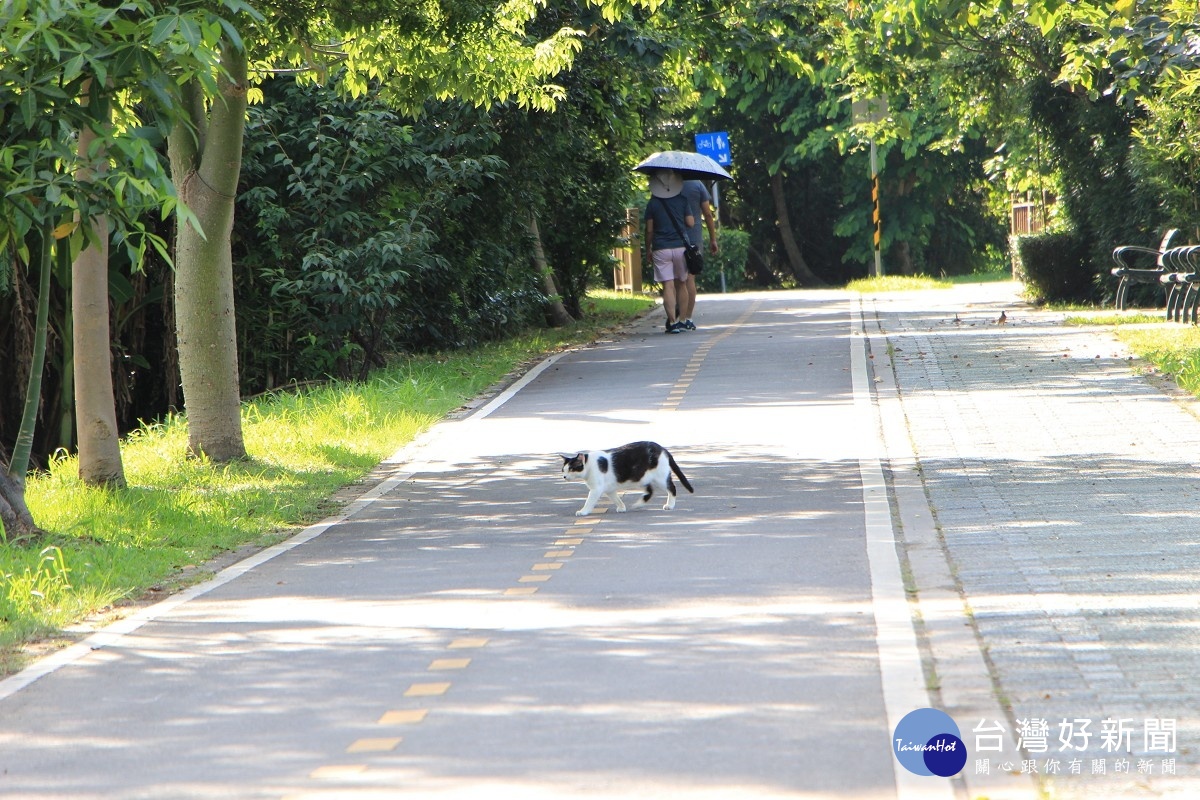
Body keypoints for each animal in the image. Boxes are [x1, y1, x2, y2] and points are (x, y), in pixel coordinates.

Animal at [556, 441, 691, 515]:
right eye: (564, 469)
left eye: (572, 469)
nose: (564, 476)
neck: (589, 465)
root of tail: (662, 448)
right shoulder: (609, 490)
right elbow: (616, 499)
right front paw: (622, 507)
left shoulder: (596, 490)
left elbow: (589, 501)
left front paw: (583, 511)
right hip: (642, 477)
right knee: (650, 490)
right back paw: (639, 504)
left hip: (660, 477)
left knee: (672, 488)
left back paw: (670, 505)